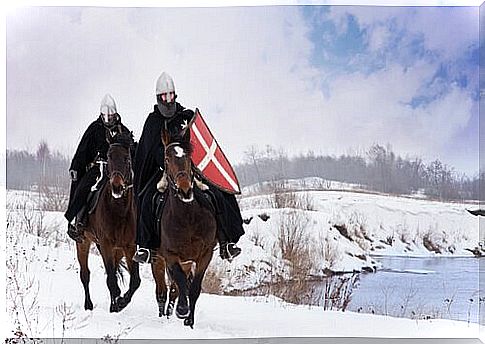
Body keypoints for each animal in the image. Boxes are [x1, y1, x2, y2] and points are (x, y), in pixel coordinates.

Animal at [75, 131, 140, 312]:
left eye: (127, 158)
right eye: (110, 156)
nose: (117, 187)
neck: (119, 210)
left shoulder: (129, 247)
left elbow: (134, 281)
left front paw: (121, 302)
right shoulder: (105, 244)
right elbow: (111, 280)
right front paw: (118, 301)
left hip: (117, 250)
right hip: (83, 242)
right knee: (85, 274)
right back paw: (88, 304)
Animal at [151, 130, 217, 328]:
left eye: (188, 157)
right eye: (167, 158)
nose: (185, 191)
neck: (188, 218)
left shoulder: (205, 255)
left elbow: (193, 288)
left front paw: (189, 320)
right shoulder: (170, 255)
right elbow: (180, 282)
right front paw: (182, 310)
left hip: (186, 262)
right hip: (158, 260)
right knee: (162, 290)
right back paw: (163, 315)